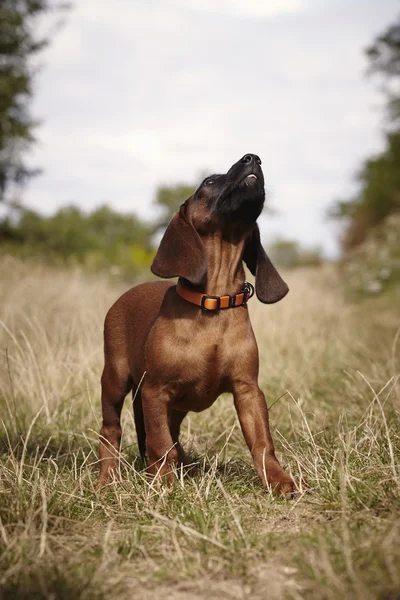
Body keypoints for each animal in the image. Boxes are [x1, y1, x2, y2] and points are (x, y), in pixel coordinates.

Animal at [98, 152, 296, 494]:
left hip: (175, 407)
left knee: (169, 437)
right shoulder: (155, 391)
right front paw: (163, 485)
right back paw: (107, 479)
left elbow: (262, 443)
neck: (214, 302)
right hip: (115, 379)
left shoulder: (248, 390)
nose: (253, 158)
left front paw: (278, 480)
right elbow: (159, 443)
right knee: (111, 431)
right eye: (209, 181)